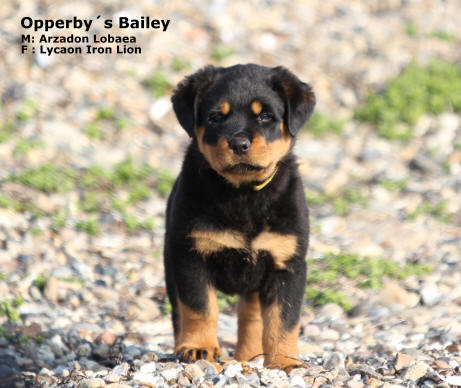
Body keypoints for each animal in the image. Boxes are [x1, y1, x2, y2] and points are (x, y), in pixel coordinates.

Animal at [164, 63, 314, 370]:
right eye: (214, 117)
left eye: (266, 116)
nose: (239, 143)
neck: (243, 194)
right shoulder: (190, 256)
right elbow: (199, 307)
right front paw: (199, 348)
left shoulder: (287, 264)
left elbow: (283, 320)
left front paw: (285, 362)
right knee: (179, 313)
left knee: (252, 317)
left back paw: (251, 358)